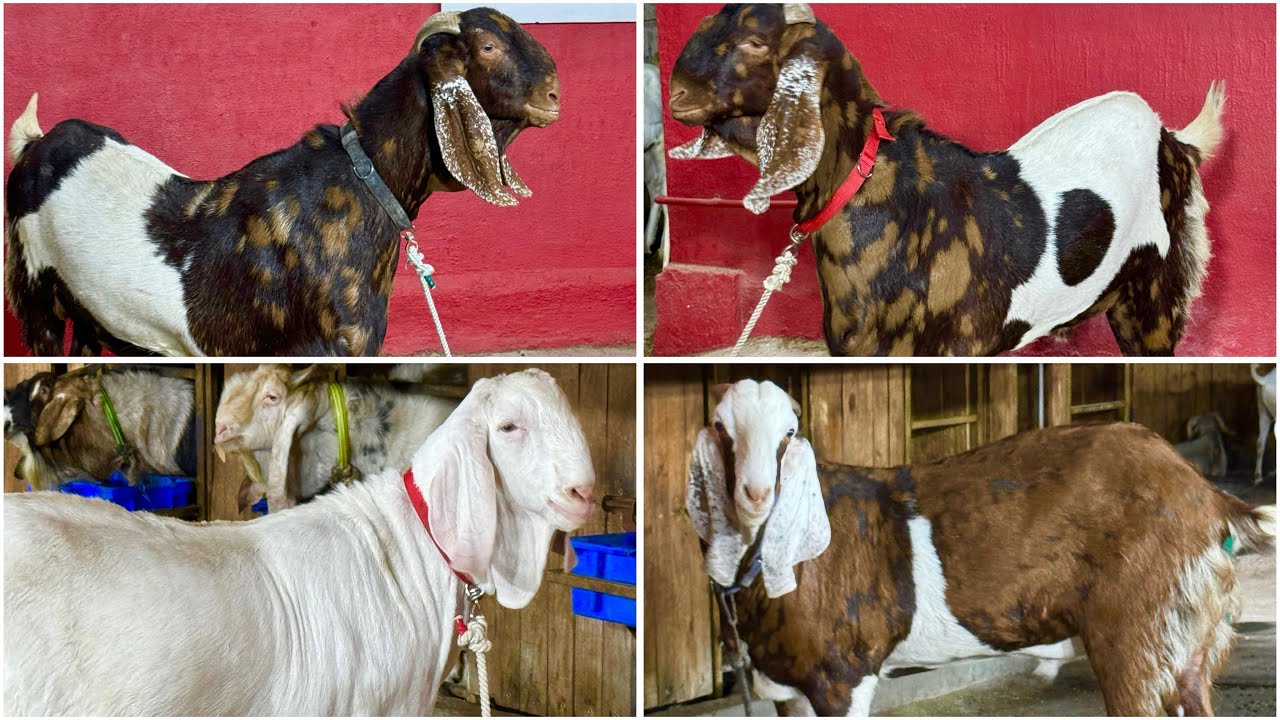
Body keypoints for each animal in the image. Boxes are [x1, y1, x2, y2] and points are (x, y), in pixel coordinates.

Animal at [5, 8, 559, 356]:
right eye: (487, 46)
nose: (554, 95)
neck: (366, 181)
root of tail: (36, 143)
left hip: (93, 317)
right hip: (34, 296)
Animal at [687, 379, 1274, 716]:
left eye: (789, 431)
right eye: (719, 426)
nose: (757, 492)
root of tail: (1207, 497)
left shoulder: (843, 674)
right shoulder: (793, 685)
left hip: (1138, 639)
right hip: (1186, 647)